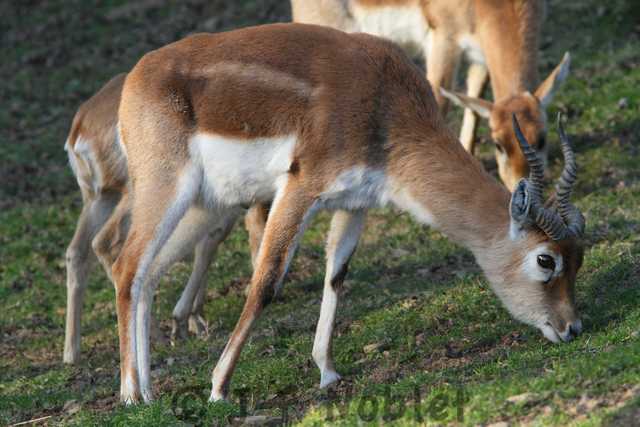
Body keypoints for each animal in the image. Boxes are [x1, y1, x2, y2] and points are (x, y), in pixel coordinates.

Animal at [63, 73, 266, 364]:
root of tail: (78, 133)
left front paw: (194, 319)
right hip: (144, 188)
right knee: (107, 242)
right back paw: (153, 336)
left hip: (98, 196)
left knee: (77, 250)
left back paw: (71, 352)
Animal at [112, 23, 585, 404]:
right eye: (546, 259)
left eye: (580, 259)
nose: (572, 328)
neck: (383, 103)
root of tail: (135, 77)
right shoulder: (300, 187)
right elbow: (265, 282)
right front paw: (218, 387)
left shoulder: (354, 204)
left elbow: (336, 276)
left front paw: (327, 371)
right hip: (168, 189)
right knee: (126, 267)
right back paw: (131, 395)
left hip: (197, 206)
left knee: (146, 275)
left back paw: (150, 392)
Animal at [290, 0, 571, 191]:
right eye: (498, 144)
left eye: (542, 138)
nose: (520, 187)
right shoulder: (443, 40)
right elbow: (439, 99)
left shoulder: (478, 54)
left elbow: (473, 96)